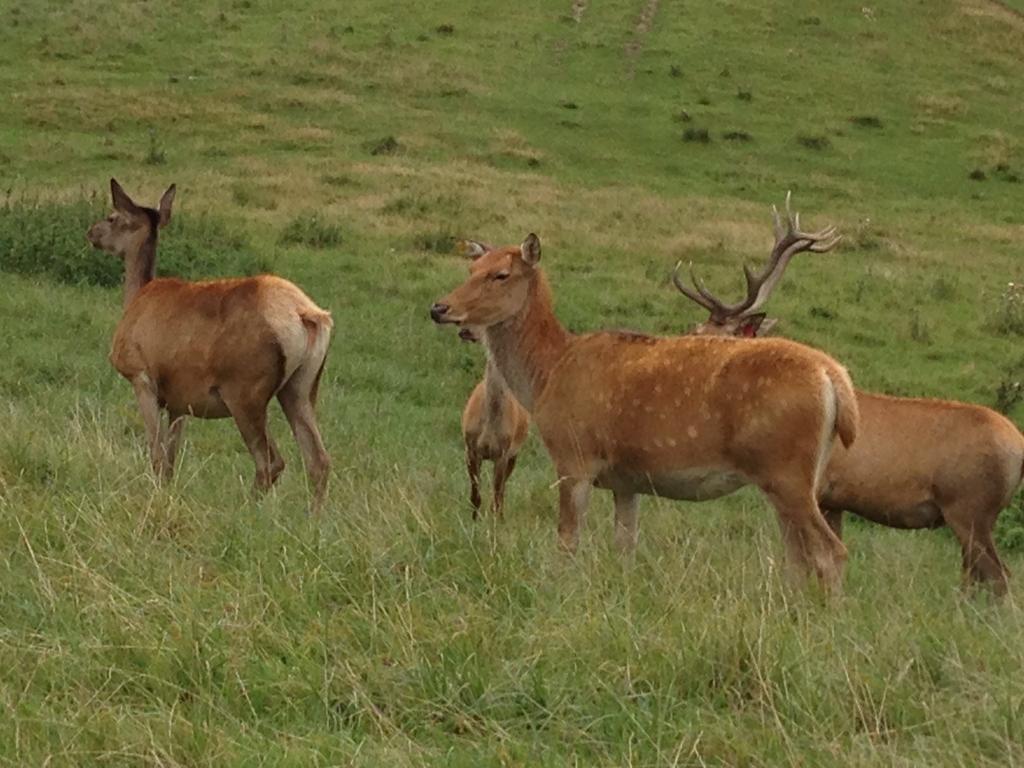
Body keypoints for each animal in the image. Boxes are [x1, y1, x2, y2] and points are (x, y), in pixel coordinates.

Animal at [87, 180, 333, 512]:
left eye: (112, 217)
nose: (91, 232)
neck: (136, 297)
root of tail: (307, 315)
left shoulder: (141, 376)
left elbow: (156, 455)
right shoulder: (179, 400)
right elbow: (171, 459)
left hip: (245, 391)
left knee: (270, 461)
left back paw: (246, 511)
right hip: (301, 386)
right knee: (318, 460)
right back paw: (313, 516)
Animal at [428, 230, 860, 593]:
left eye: (500, 274)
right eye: (471, 269)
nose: (439, 307)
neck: (547, 376)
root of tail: (834, 377)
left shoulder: (573, 456)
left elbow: (567, 541)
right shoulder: (627, 480)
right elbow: (625, 546)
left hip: (786, 470)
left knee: (830, 551)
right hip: (797, 476)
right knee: (797, 554)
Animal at [675, 192, 1019, 593]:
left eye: (706, 334)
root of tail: (1019, 452)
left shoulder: (814, 488)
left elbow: (804, 561)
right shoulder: (833, 499)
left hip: (969, 507)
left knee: (1000, 577)